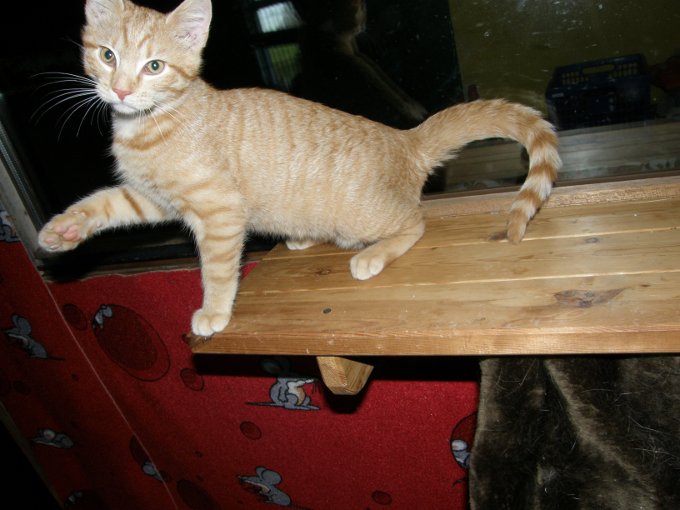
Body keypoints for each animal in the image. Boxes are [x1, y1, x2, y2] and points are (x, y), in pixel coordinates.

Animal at [38, 0, 562, 338]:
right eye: (108, 56)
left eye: (154, 66)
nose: (122, 91)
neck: (151, 123)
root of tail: (403, 139)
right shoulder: (150, 197)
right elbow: (102, 204)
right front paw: (62, 231)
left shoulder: (219, 211)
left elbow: (218, 271)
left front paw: (214, 311)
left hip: (364, 217)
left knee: (416, 221)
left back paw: (373, 254)